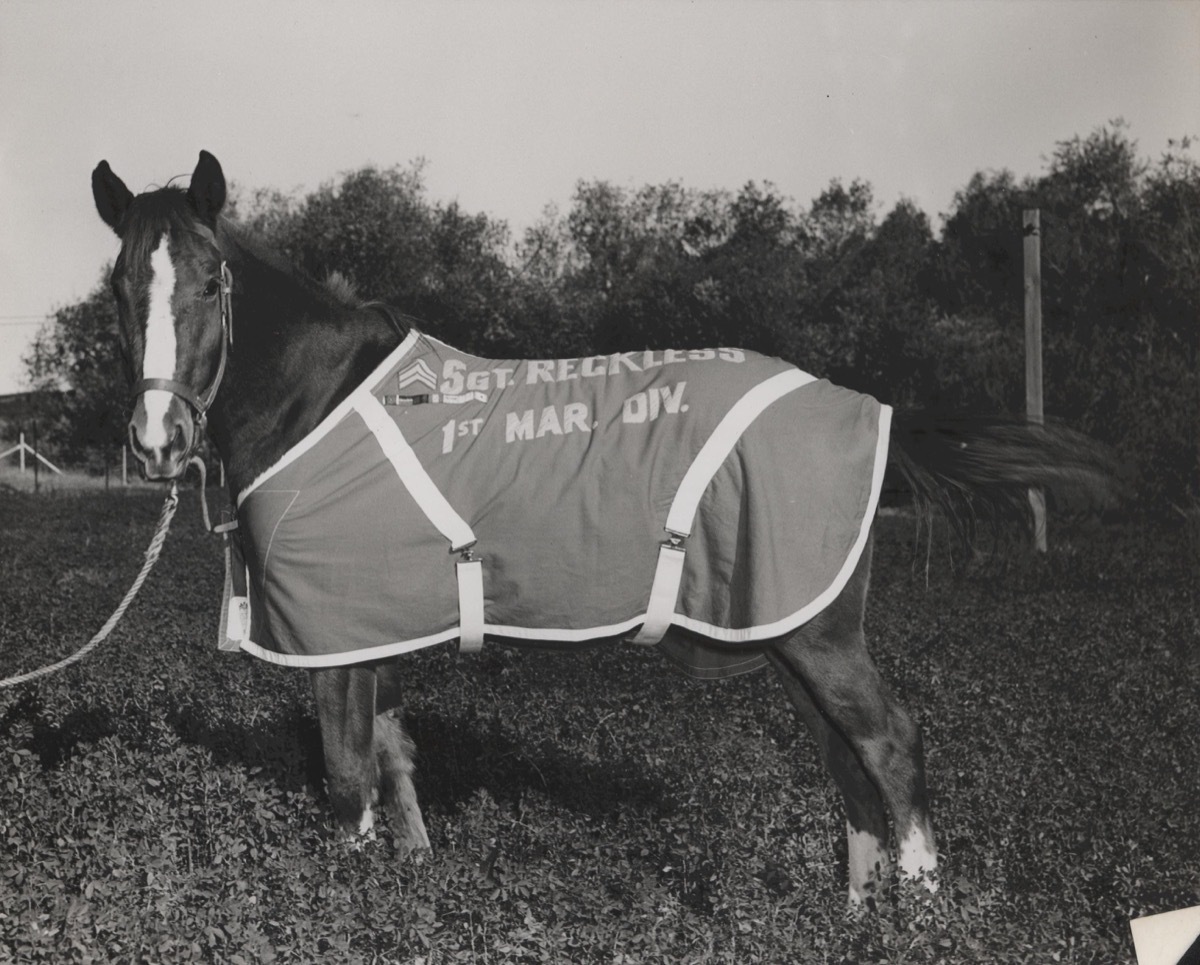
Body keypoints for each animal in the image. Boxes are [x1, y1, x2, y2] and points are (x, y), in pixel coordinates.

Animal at [91, 148, 1113, 902]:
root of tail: (871, 408)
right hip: (789, 627)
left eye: (209, 281)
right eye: (118, 289)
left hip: (817, 634)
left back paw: (921, 914)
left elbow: (349, 784)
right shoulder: (373, 634)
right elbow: (396, 769)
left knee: (891, 746)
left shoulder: (335, 641)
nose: (156, 438)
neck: (321, 399)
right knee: (849, 765)